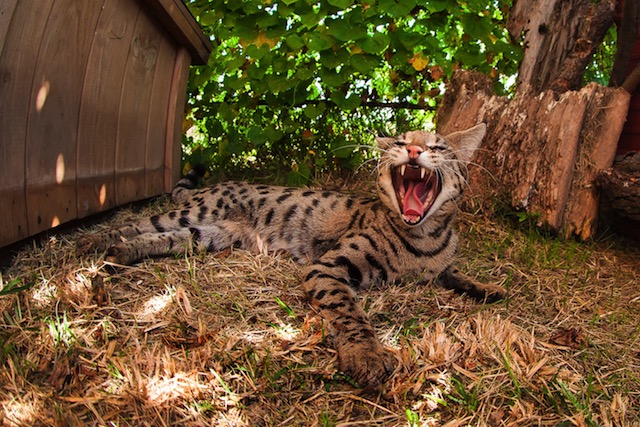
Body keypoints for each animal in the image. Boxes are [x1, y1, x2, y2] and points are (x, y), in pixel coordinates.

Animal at [77, 123, 504, 388]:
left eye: (438, 147)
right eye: (400, 141)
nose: (413, 149)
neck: (425, 237)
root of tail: (216, 186)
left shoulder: (439, 267)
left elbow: (455, 274)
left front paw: (487, 287)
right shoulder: (327, 267)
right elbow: (350, 312)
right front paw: (365, 353)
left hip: (211, 236)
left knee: (164, 238)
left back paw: (123, 250)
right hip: (197, 212)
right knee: (141, 221)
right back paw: (96, 241)